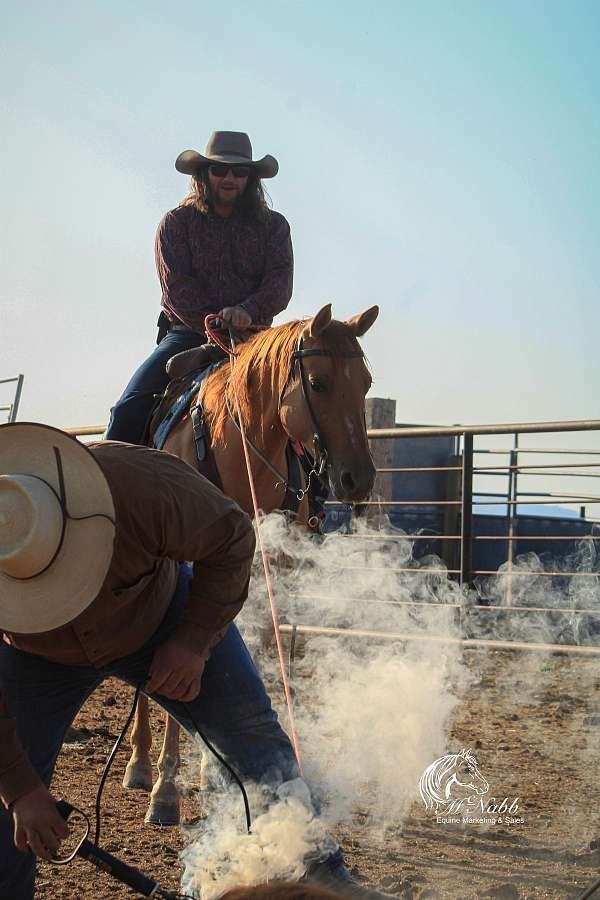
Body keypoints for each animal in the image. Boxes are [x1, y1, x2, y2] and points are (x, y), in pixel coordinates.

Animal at [120, 306, 380, 828]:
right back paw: (138, 765)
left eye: (365, 383)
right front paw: (165, 789)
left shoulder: (271, 567)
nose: (358, 479)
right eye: (318, 382)